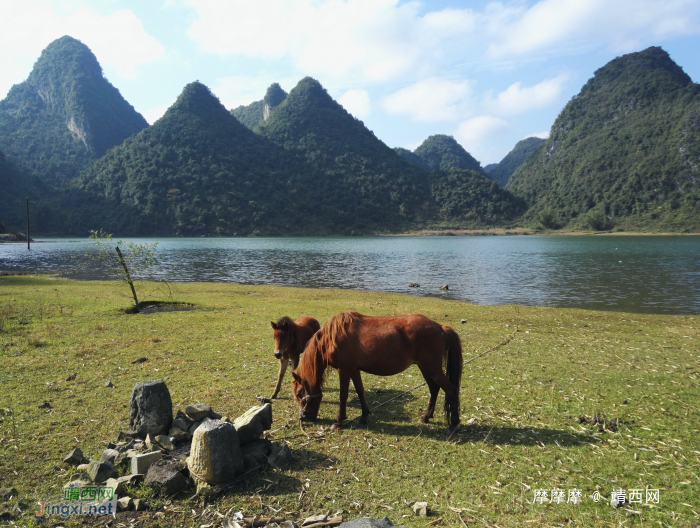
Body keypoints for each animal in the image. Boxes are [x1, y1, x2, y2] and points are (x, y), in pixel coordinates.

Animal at [292, 312, 462, 432]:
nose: (304, 417)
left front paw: (339, 421)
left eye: (300, 394)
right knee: (434, 389)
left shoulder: (344, 370)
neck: (333, 337)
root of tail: (439, 327)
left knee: (451, 389)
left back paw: (453, 424)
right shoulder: (354, 370)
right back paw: (426, 417)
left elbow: (343, 395)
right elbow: (360, 391)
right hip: (425, 368)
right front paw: (364, 416)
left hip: (431, 368)